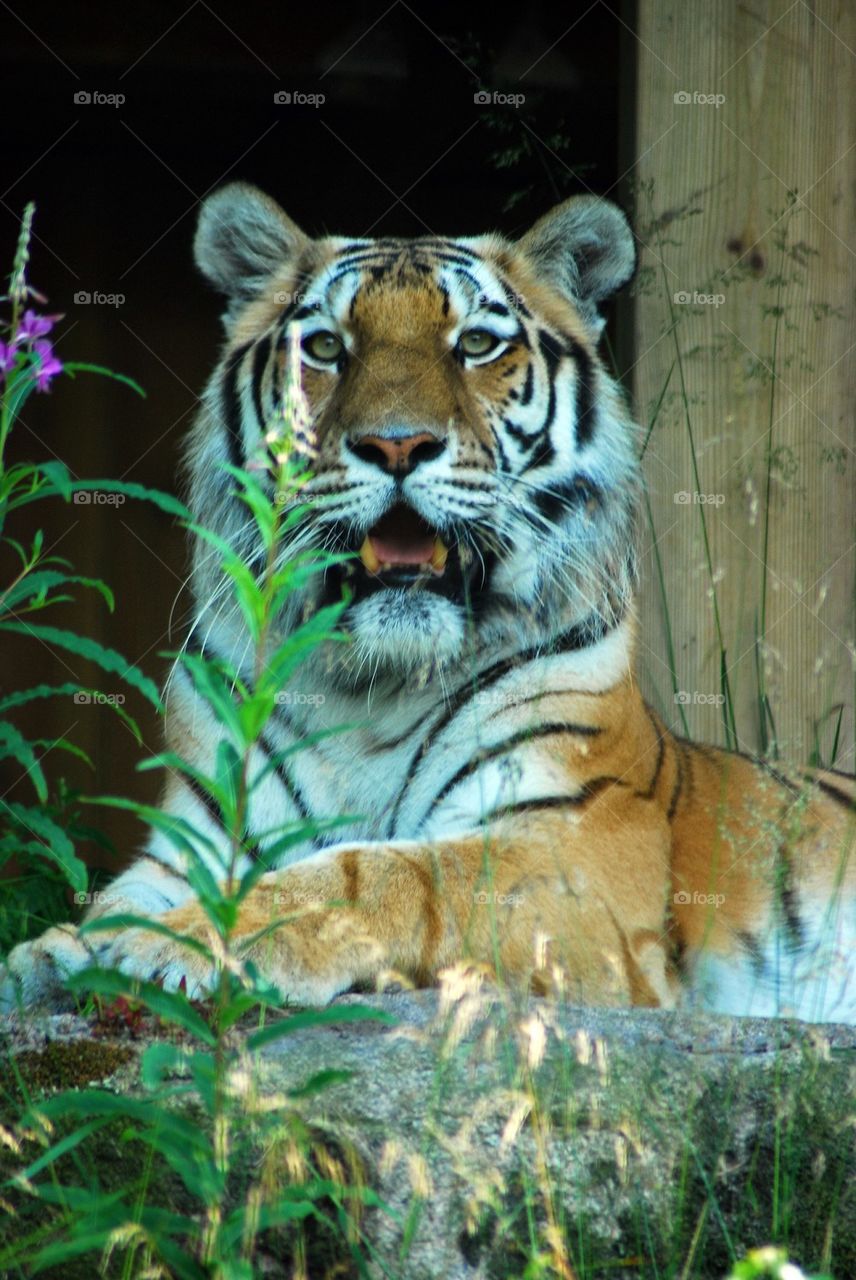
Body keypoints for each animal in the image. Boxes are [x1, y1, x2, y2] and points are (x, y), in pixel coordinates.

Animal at [2, 182, 854, 1022]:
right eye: (325, 348)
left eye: (475, 345)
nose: (397, 446)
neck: (371, 688)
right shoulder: (196, 836)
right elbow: (117, 899)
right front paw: (55, 953)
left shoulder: (576, 854)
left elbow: (382, 872)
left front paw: (179, 943)